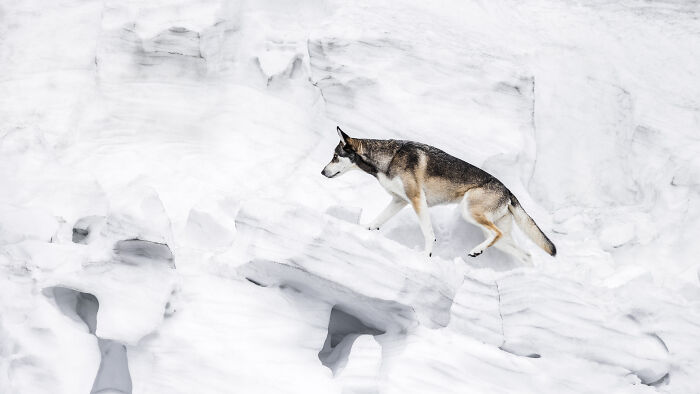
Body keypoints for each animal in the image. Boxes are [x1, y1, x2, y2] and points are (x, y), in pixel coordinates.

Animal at [322, 126, 556, 262]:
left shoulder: (417, 199)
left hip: (470, 213)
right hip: (497, 235)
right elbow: (374, 223)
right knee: (525, 254)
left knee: (496, 235)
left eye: (335, 156)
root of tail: (508, 191)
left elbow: (428, 233)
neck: (389, 158)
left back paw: (476, 251)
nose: (322, 172)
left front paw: (426, 255)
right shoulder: (399, 201)